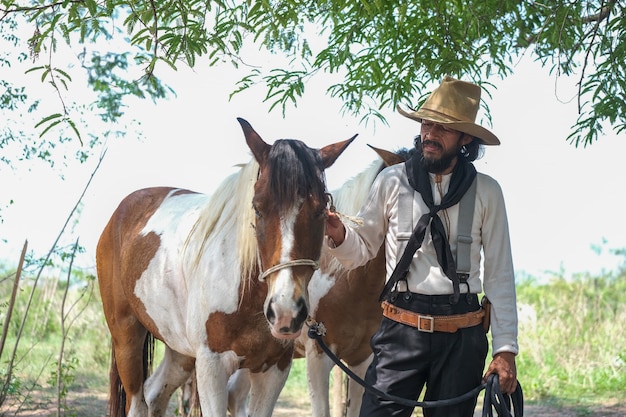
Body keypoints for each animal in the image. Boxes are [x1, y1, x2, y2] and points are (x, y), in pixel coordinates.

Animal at [95, 118, 354, 416]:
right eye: (258, 208)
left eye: (321, 210)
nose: (285, 311)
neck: (244, 291)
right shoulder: (212, 367)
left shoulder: (275, 369)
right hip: (127, 338)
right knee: (138, 402)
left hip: (180, 352)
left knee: (155, 394)